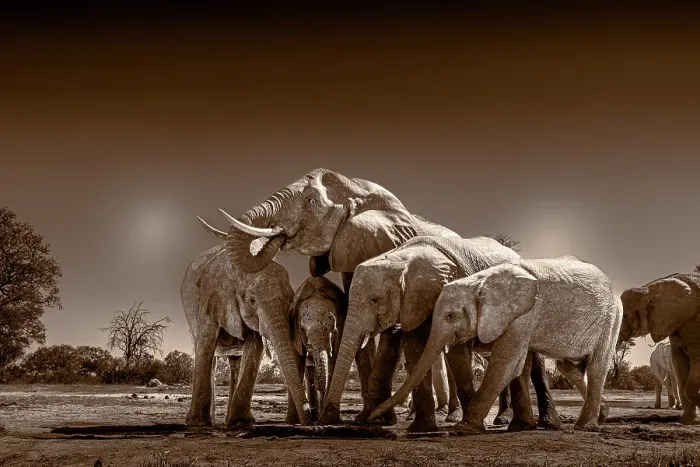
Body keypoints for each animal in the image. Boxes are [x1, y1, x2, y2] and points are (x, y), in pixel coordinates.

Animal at [181, 219, 311, 426]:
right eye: (252, 300)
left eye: (291, 300)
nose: (310, 420)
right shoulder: (212, 298)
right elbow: (206, 344)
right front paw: (197, 423)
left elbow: (254, 349)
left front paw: (240, 422)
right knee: (211, 356)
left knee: (235, 361)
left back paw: (227, 421)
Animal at [213, 168, 466, 423]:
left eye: (311, 202)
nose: (279, 235)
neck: (357, 189)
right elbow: (355, 321)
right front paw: (365, 416)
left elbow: (387, 326)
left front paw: (378, 419)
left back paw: (452, 416)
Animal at [322, 235, 561, 433]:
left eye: (375, 300)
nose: (329, 421)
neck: (404, 258)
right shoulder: (412, 304)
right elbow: (415, 351)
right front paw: (421, 430)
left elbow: (457, 355)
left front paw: (469, 427)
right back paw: (510, 422)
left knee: (533, 362)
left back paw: (541, 424)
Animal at [369, 256, 622, 433]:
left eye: (450, 316)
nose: (369, 419)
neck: (480, 282)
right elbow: (519, 364)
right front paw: (520, 427)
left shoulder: (524, 314)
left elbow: (506, 362)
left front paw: (462, 429)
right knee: (568, 365)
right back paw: (602, 415)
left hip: (611, 317)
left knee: (597, 365)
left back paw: (584, 426)